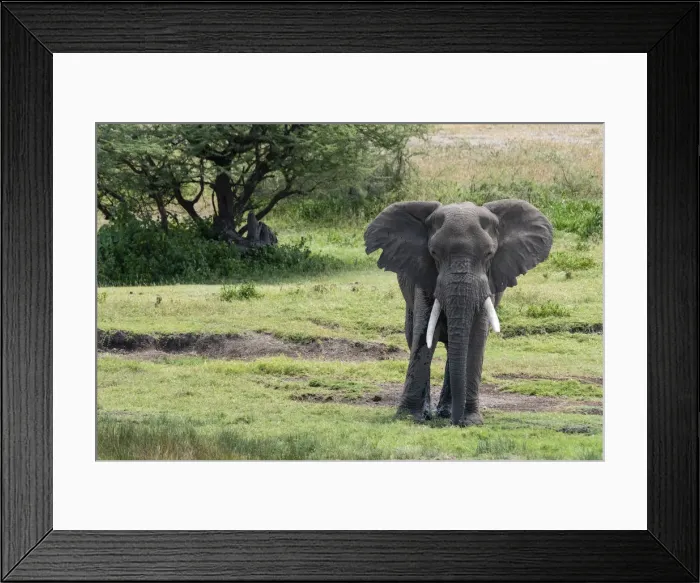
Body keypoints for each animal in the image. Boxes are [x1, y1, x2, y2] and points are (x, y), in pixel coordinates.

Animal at [364, 199, 553, 427]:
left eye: (489, 254)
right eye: (434, 253)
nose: (456, 422)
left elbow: (476, 338)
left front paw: (470, 421)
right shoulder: (424, 275)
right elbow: (425, 336)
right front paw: (409, 417)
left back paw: (446, 411)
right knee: (413, 336)